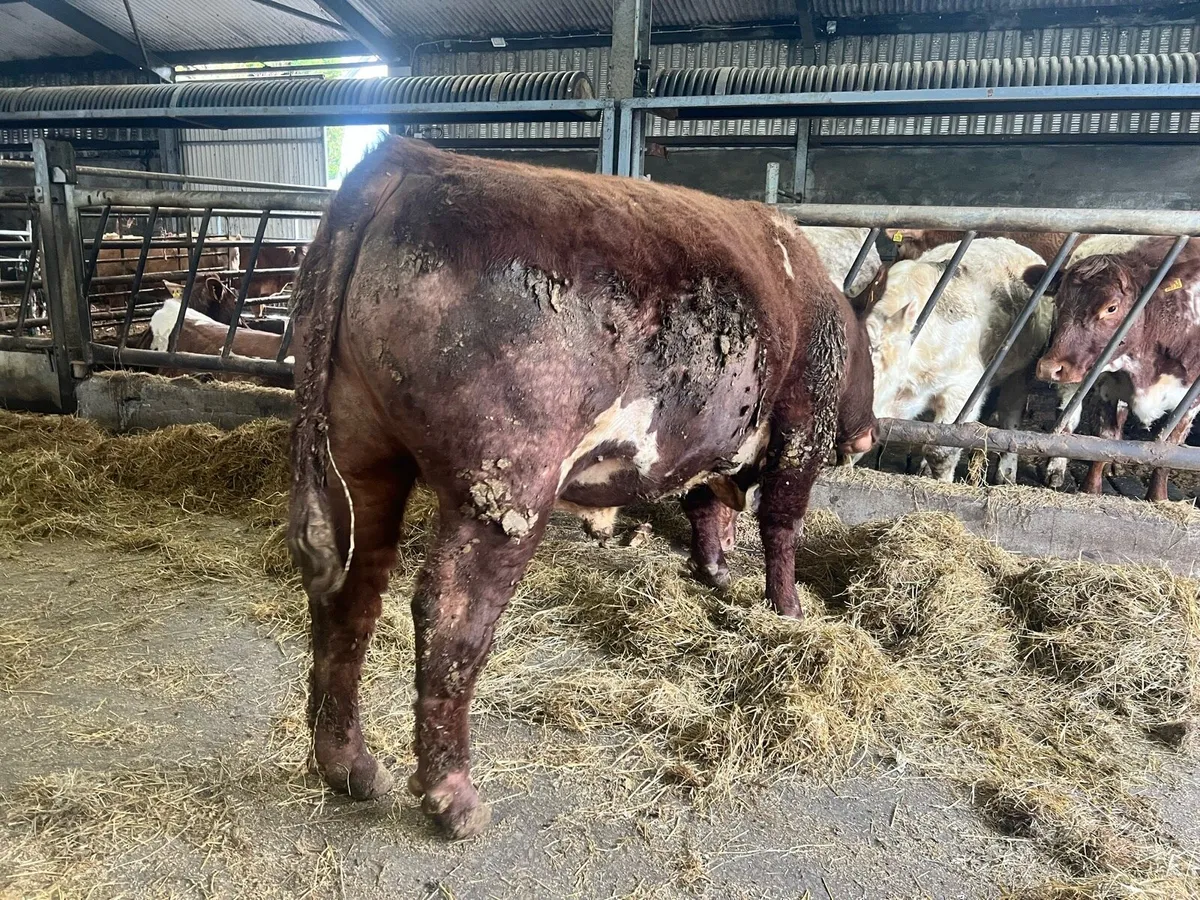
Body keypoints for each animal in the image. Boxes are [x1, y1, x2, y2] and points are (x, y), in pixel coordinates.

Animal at [285, 137, 876, 840]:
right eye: (873, 349)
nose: (869, 435)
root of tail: (408, 158)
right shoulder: (802, 428)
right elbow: (782, 524)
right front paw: (789, 612)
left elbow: (706, 506)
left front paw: (716, 575)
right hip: (506, 483)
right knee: (449, 619)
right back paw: (454, 799)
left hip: (359, 455)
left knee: (350, 597)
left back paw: (348, 767)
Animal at [859, 238, 1052, 483]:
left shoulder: (965, 386)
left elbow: (942, 448)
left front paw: (942, 481)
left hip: (1023, 366)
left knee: (1011, 414)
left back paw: (1005, 476)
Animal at [1029, 234, 1200, 501]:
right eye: (1058, 301)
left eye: (1111, 308)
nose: (1049, 368)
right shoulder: (1107, 387)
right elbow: (1103, 442)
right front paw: (1091, 491)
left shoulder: (1190, 402)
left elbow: (1168, 451)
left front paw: (1158, 497)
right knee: (1069, 417)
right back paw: (1057, 469)